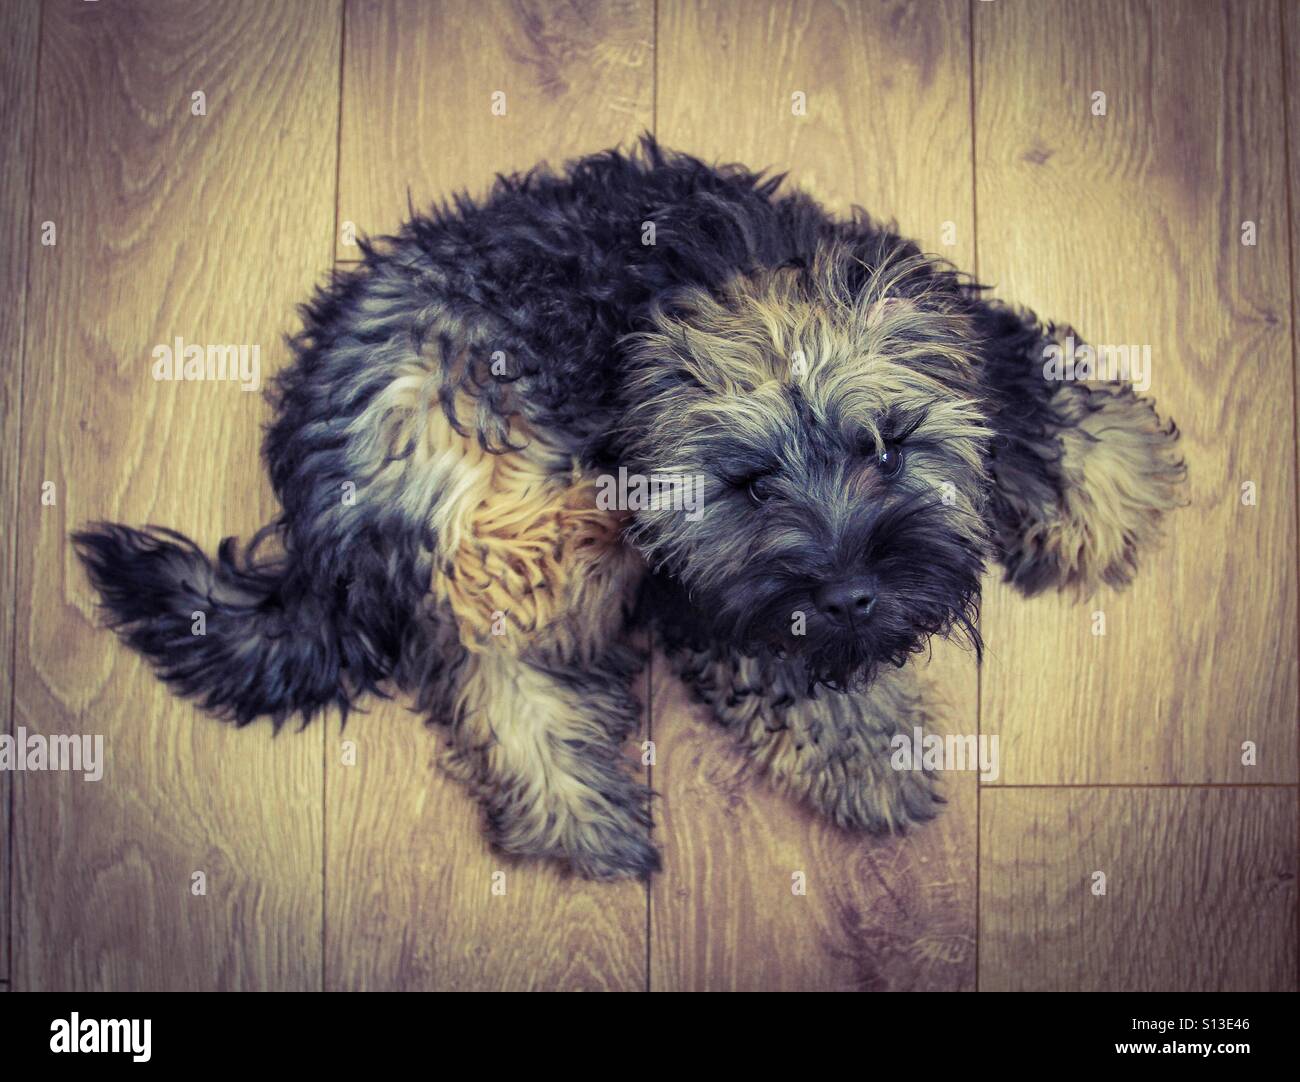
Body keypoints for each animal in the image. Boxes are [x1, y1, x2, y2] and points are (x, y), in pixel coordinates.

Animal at [76, 139, 1185, 879]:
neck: (729, 282)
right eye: (747, 486)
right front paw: (875, 756)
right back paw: (588, 819)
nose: (849, 595)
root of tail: (320, 525)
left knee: (502, 689)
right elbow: (779, 657)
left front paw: (1111, 478)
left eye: (888, 448)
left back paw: (582, 824)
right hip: (509, 504)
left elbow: (1018, 385)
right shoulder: (718, 582)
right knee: (502, 667)